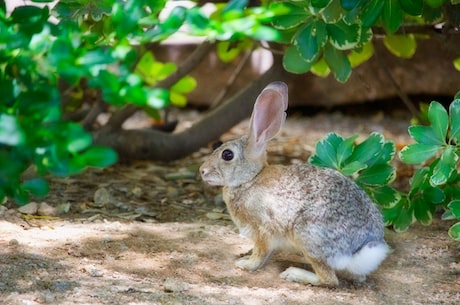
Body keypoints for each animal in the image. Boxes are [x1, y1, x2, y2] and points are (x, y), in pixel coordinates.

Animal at [199, 81, 390, 284]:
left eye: (227, 155)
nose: (202, 171)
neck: (251, 178)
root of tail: (360, 250)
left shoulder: (263, 229)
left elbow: (261, 252)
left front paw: (246, 264)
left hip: (308, 236)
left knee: (329, 279)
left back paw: (294, 273)